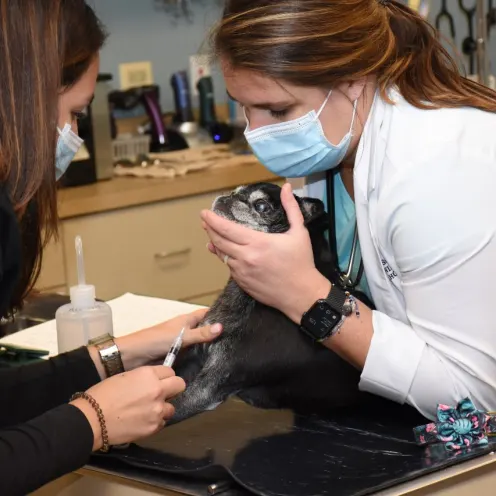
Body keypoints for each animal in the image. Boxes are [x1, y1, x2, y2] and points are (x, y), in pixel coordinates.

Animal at [170, 184, 376, 424]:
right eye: (235, 191)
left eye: (261, 206)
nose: (229, 197)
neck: (249, 297)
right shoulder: (193, 358)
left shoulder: (209, 387)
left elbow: (170, 408)